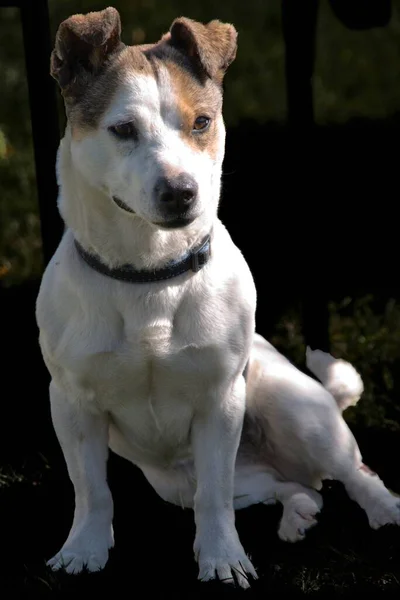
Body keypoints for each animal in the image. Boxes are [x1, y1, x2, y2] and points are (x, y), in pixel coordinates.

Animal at [35, 7, 400, 588]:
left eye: (202, 122)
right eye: (123, 129)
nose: (182, 192)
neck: (151, 273)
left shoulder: (219, 402)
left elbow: (216, 497)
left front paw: (224, 558)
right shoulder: (72, 404)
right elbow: (92, 491)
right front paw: (84, 549)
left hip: (293, 407)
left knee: (350, 470)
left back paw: (383, 508)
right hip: (175, 482)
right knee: (293, 488)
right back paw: (297, 516)